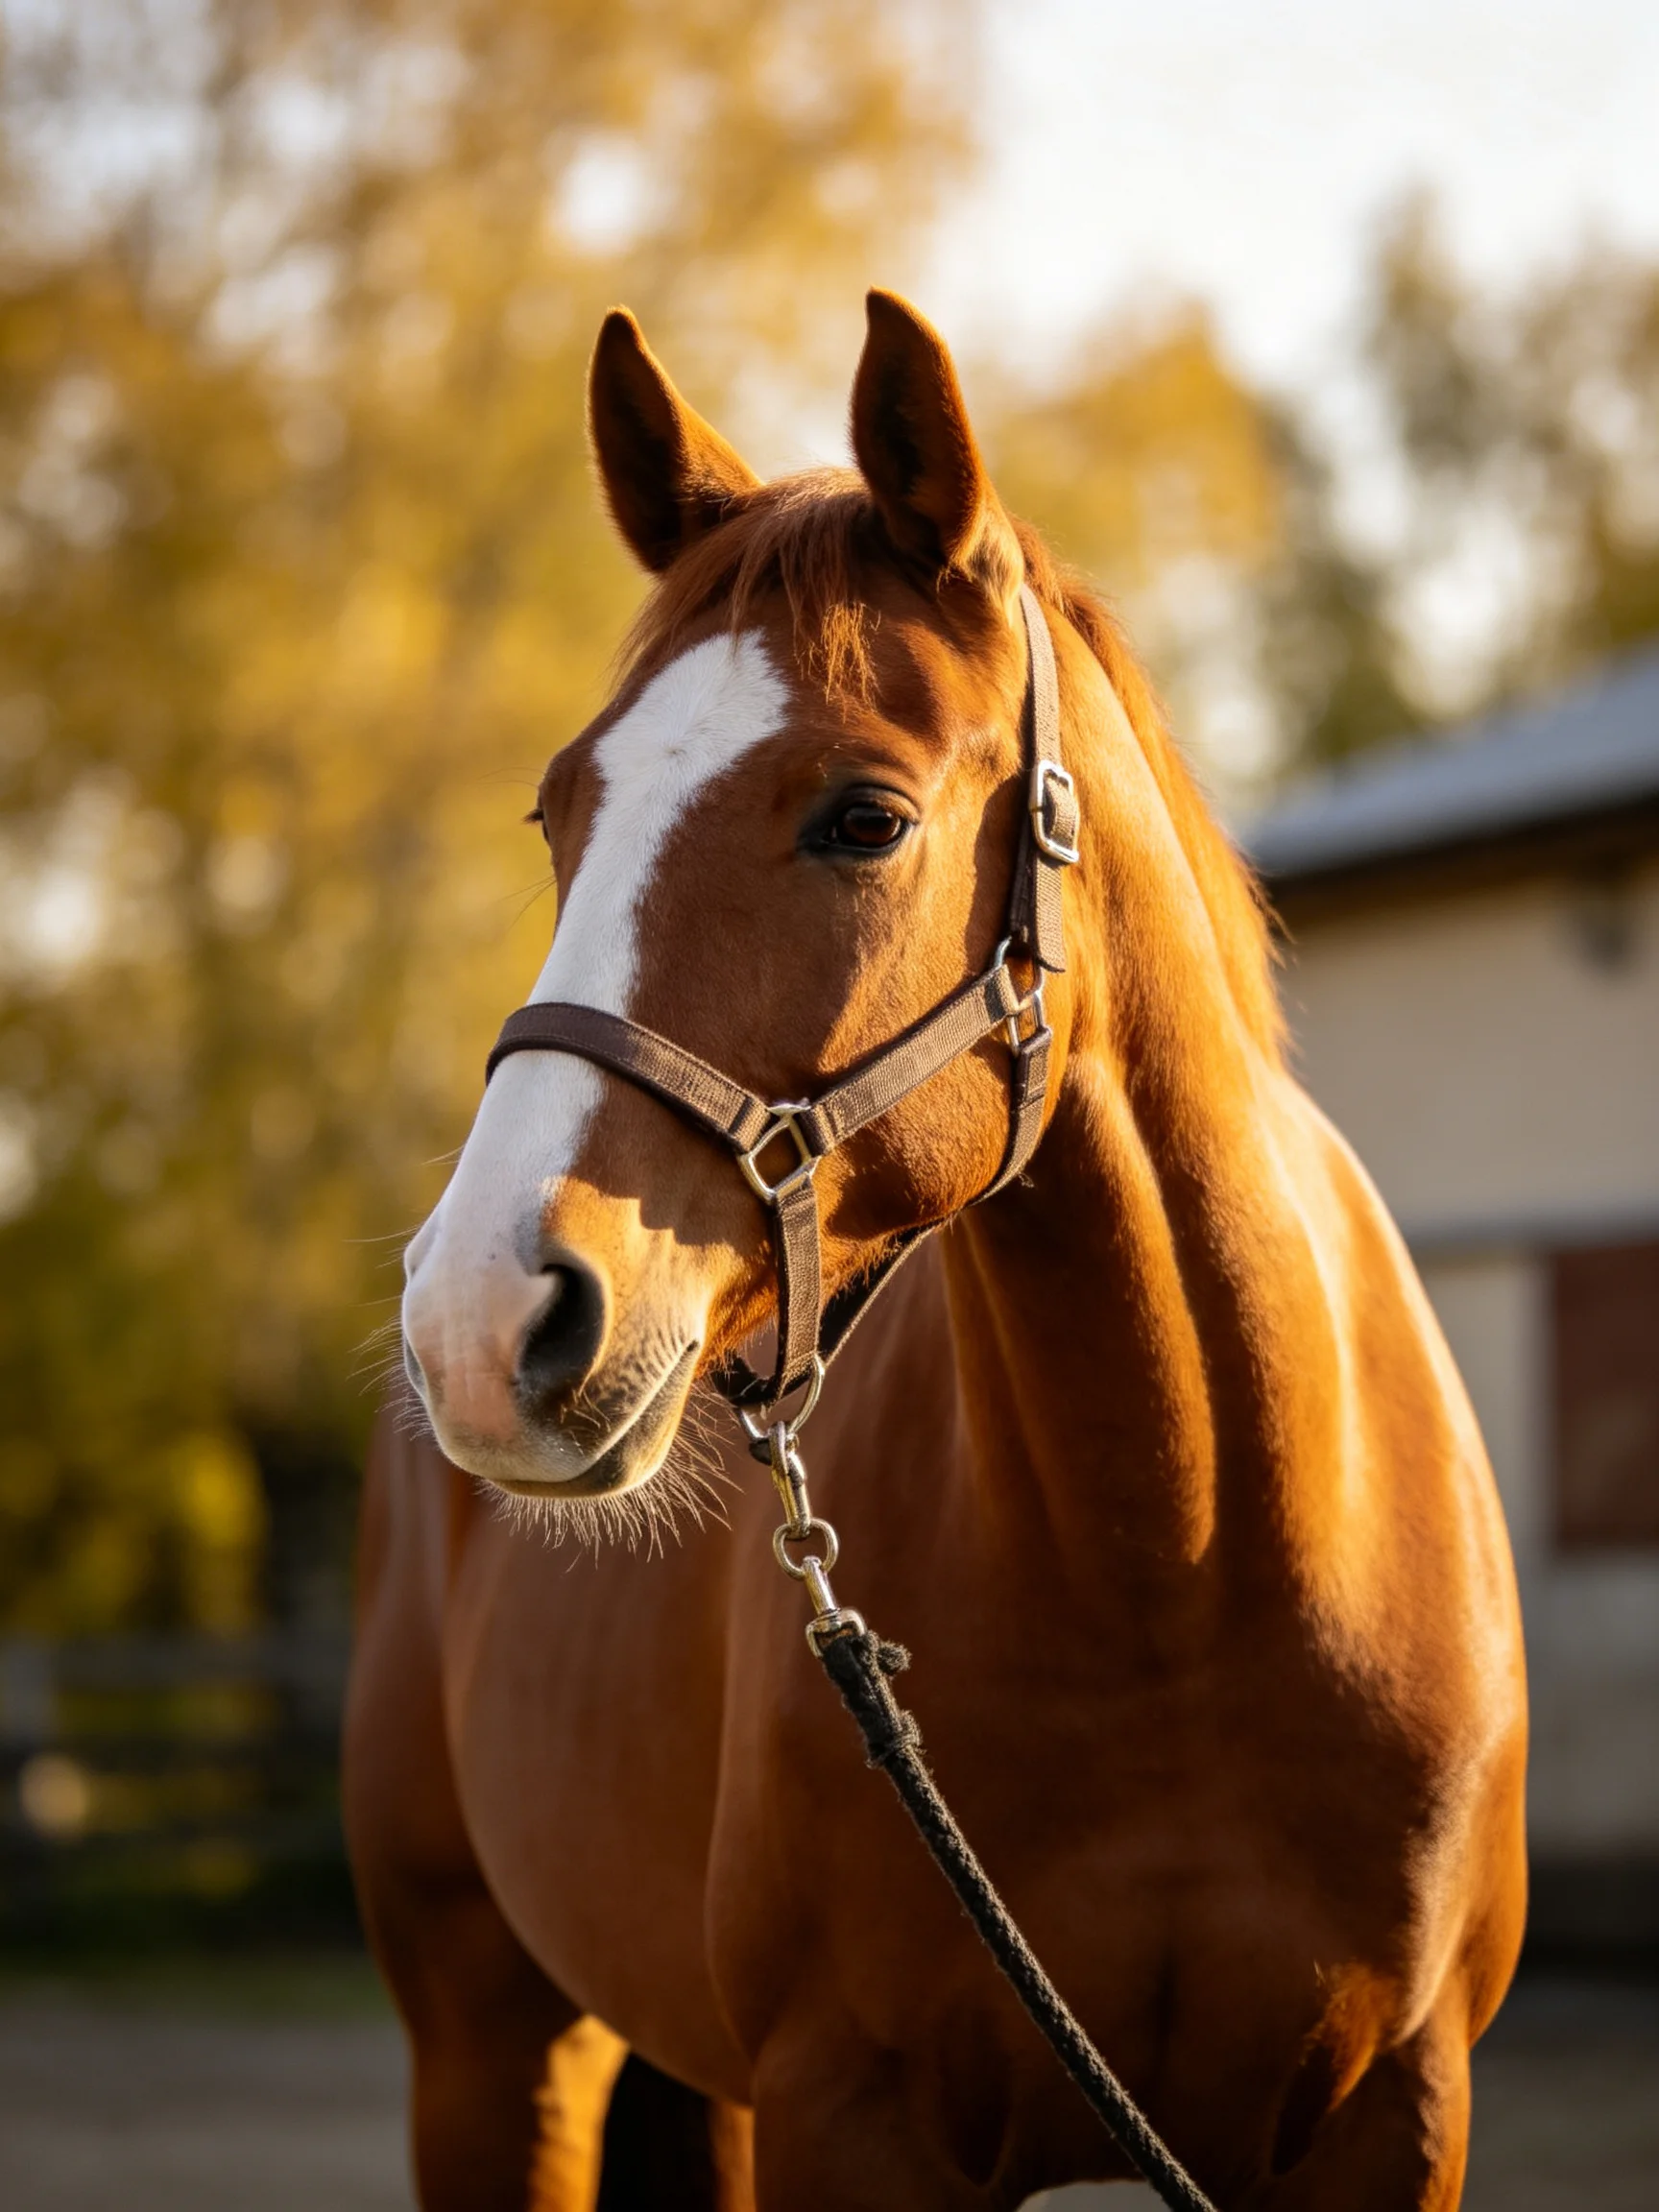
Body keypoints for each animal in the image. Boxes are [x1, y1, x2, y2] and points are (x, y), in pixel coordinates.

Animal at [344, 289, 1528, 2210]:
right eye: (558, 812)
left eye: (866, 817)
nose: (480, 1318)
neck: (1188, 1563)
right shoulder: (856, 2112)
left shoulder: (1394, 2116)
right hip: (489, 2049)